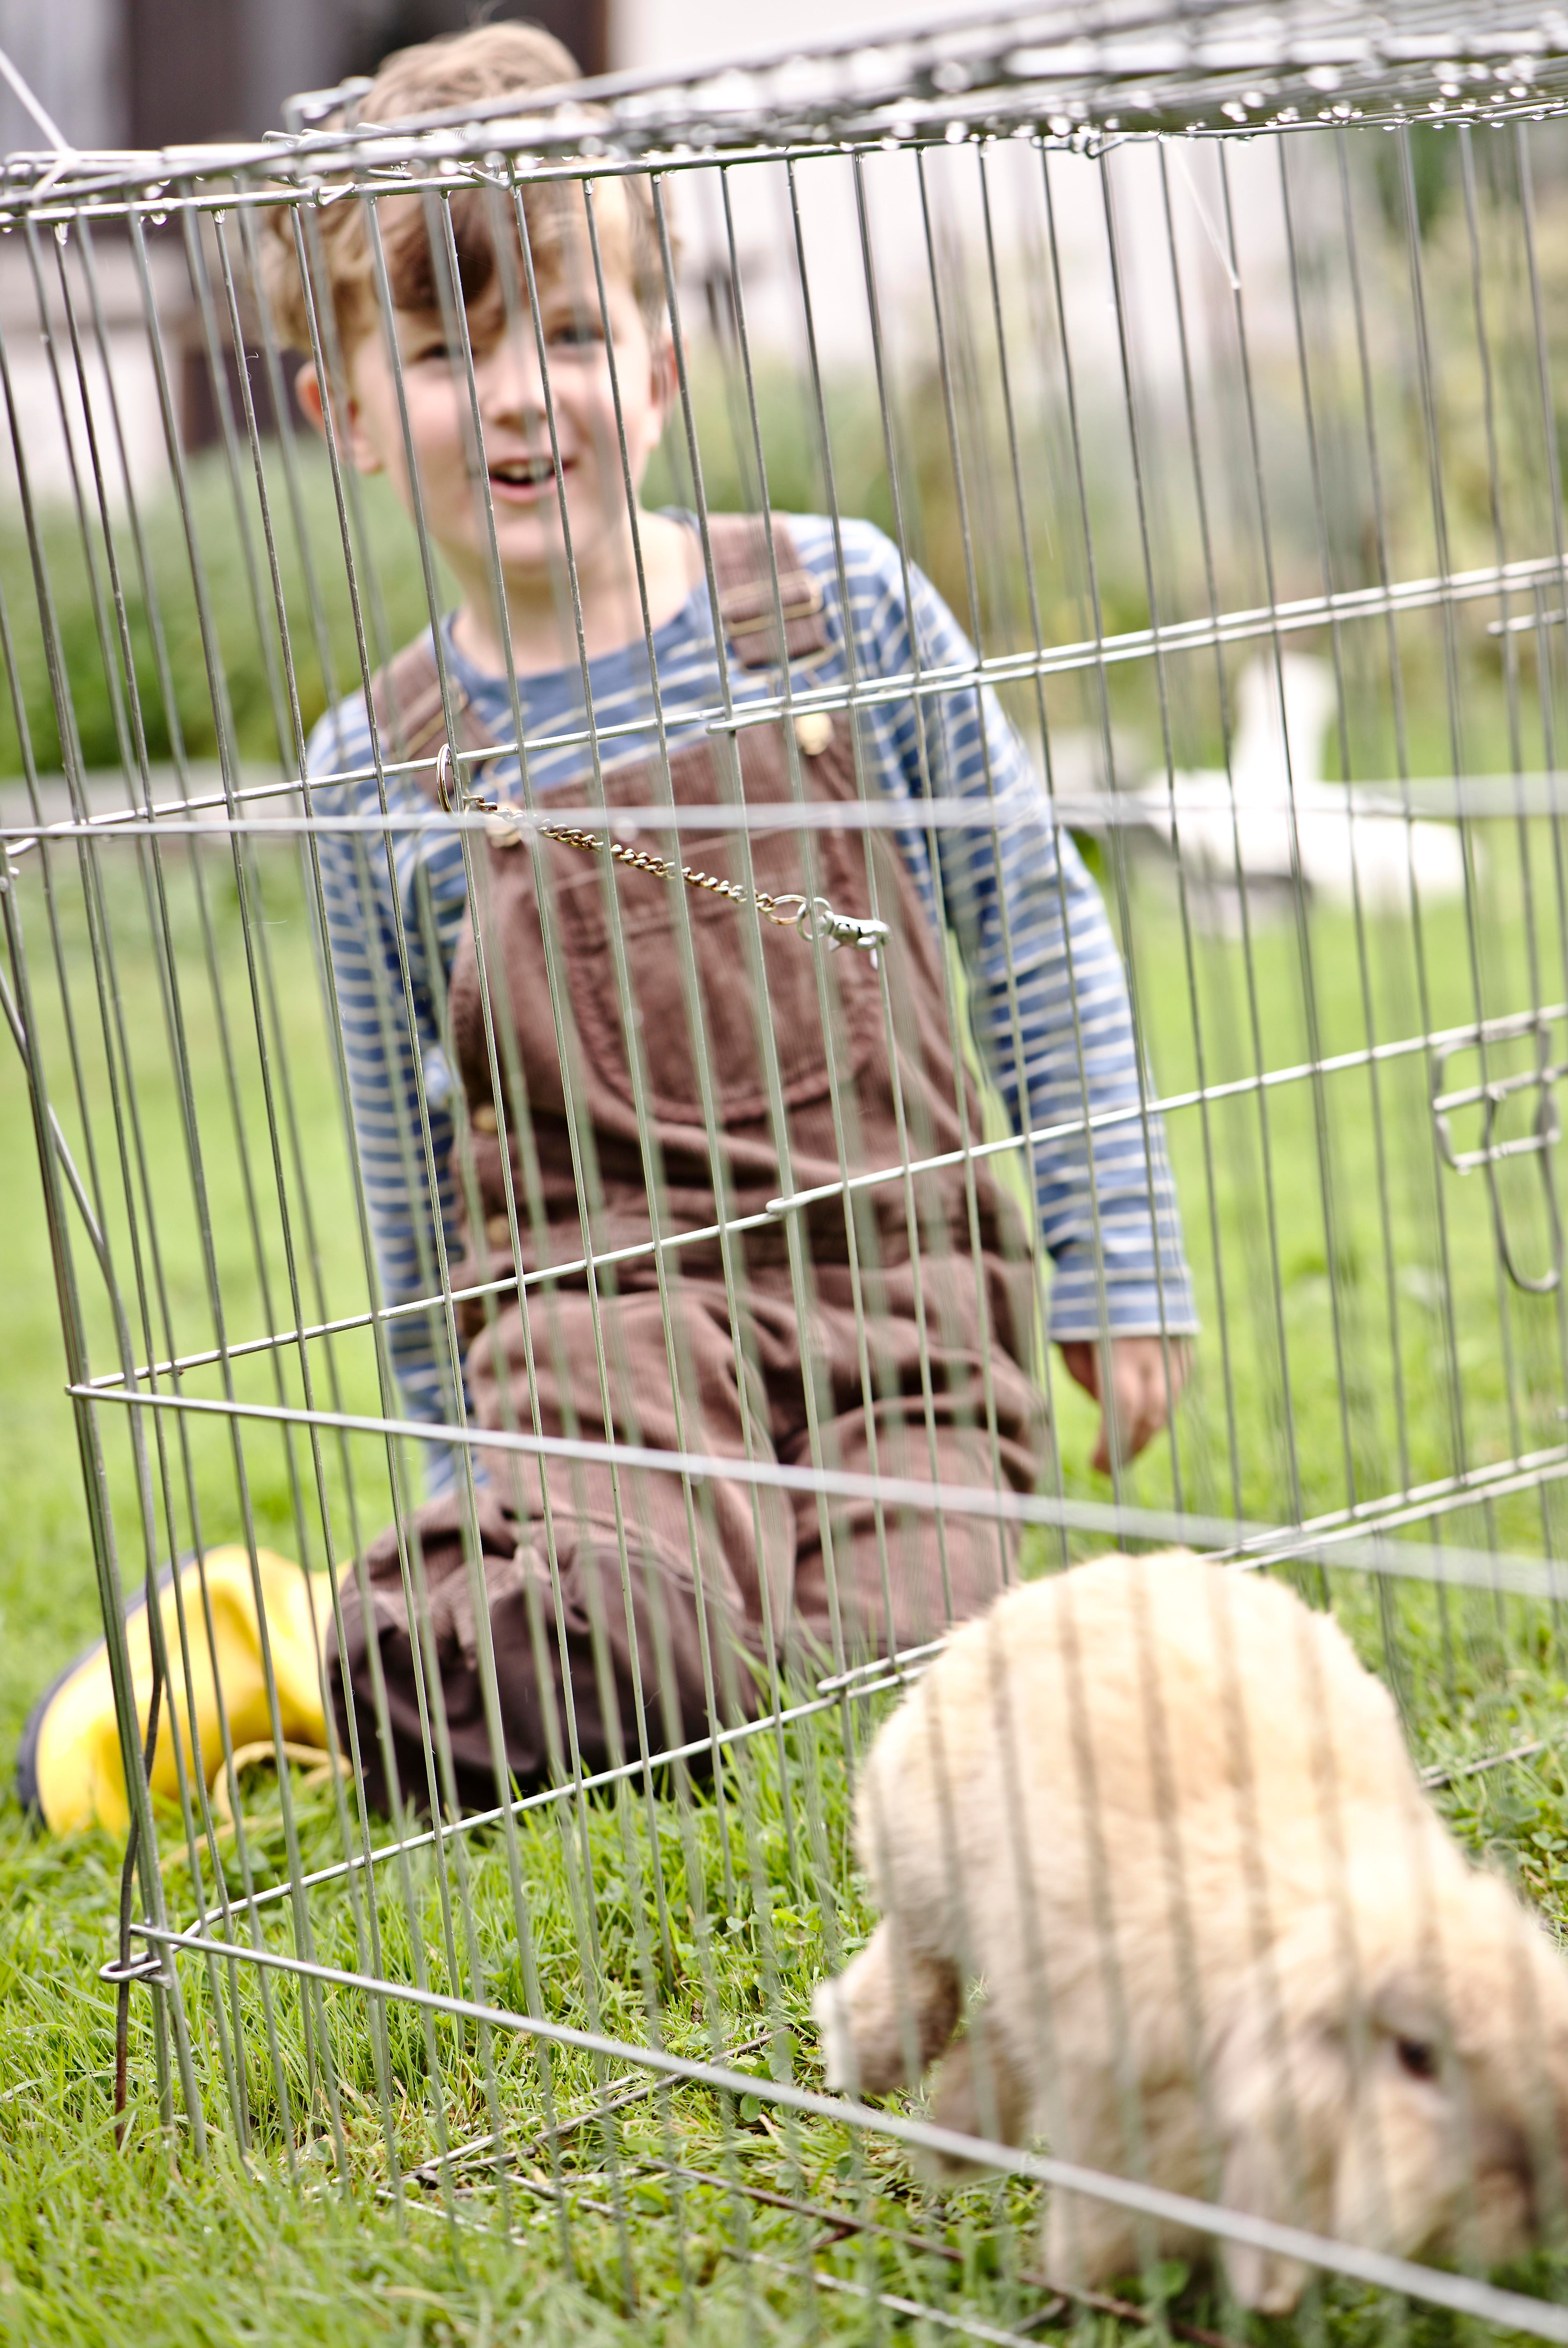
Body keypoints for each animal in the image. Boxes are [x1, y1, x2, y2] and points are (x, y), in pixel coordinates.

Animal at [813, 1550, 1568, 2312]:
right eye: (1417, 2056)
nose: (1537, 2202)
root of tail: (1062, 1583)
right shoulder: (1112, 2102)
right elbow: (1112, 2217)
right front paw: (1088, 2284)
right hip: (922, 1850)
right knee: (920, 1963)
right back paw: (865, 2061)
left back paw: (955, 2141)